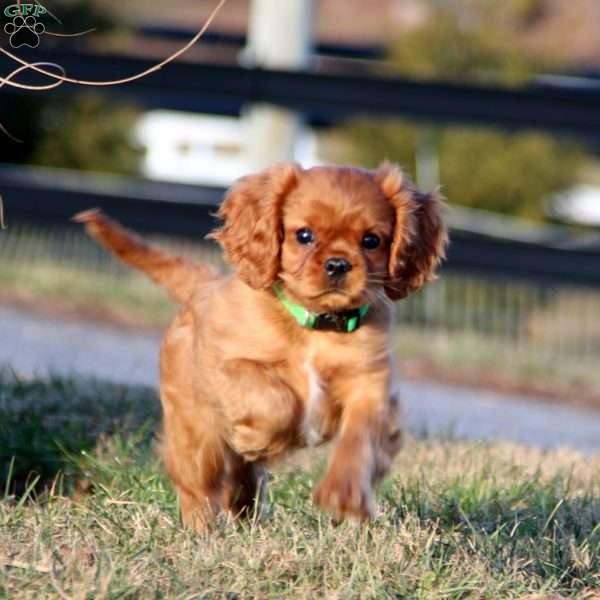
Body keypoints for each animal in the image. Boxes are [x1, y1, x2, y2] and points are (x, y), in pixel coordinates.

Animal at [74, 162, 446, 528]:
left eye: (371, 240)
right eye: (304, 235)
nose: (338, 264)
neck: (315, 326)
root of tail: (203, 284)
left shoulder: (370, 386)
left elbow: (360, 438)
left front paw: (346, 493)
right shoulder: (228, 365)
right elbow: (271, 396)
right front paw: (258, 437)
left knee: (240, 483)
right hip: (196, 434)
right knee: (197, 488)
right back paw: (201, 530)